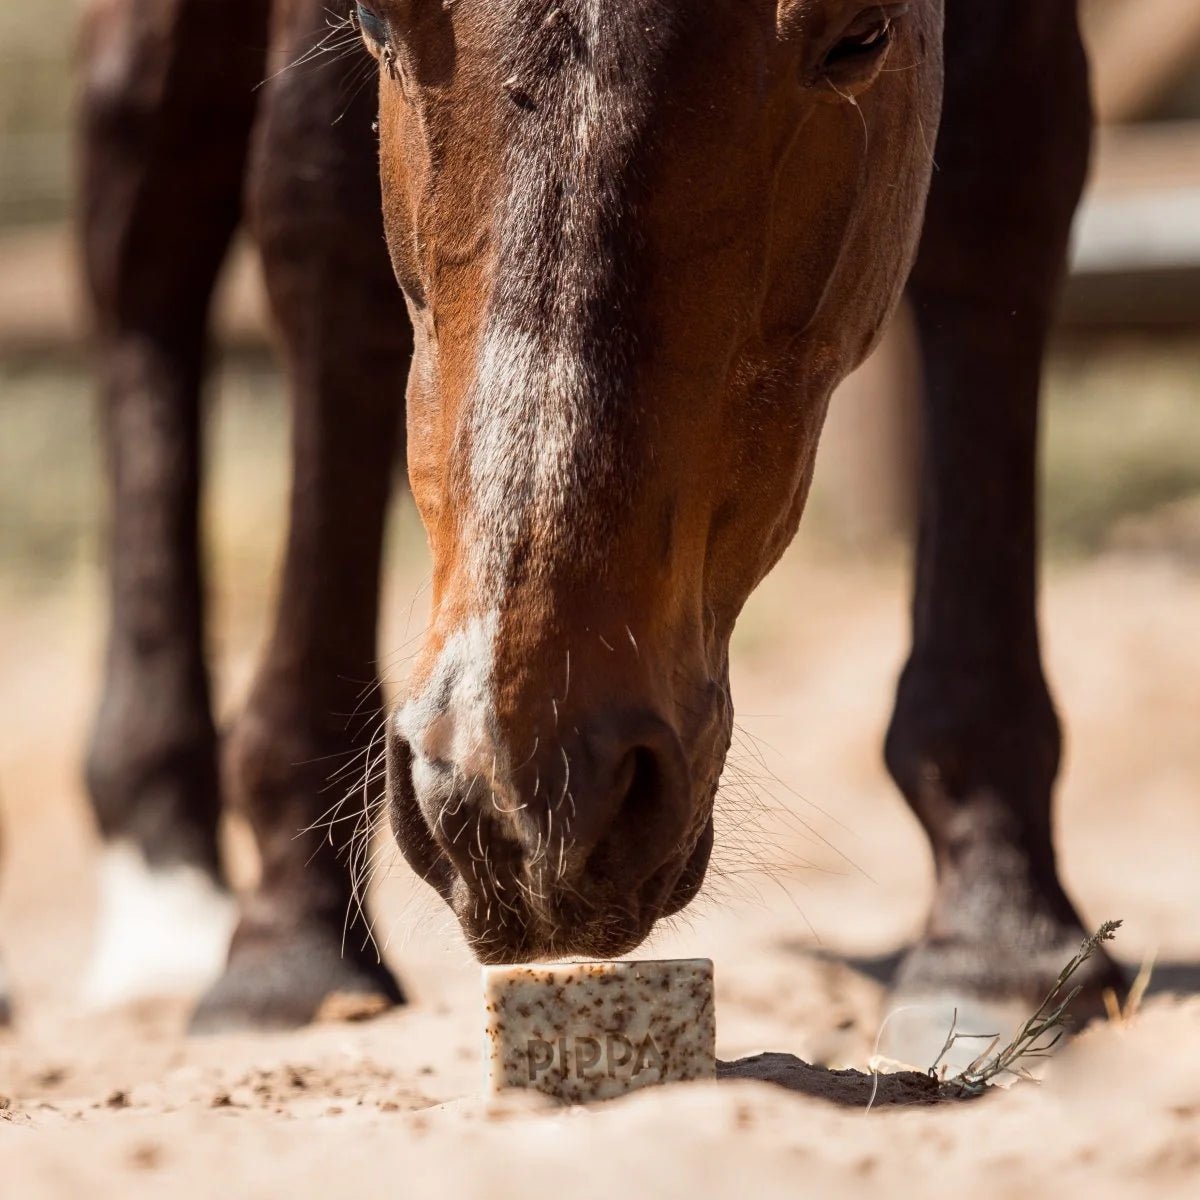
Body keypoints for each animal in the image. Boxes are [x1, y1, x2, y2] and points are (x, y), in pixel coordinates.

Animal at [18, 2, 1118, 1051]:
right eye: (374, 20)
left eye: (861, 38)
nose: (523, 801)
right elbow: (311, 204)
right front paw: (289, 951)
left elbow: (1001, 172)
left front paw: (995, 929)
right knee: (145, 203)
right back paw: (165, 886)